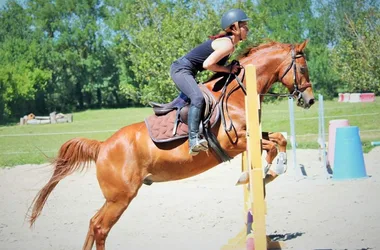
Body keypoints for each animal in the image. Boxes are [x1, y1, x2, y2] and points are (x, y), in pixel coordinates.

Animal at [29, 40, 314, 249]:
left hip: (115, 198)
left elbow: (279, 139)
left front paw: (269, 171)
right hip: (120, 198)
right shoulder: (235, 141)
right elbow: (271, 145)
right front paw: (265, 172)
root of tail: (102, 146)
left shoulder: (251, 135)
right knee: (100, 227)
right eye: (302, 69)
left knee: (92, 223)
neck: (234, 93)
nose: (309, 100)